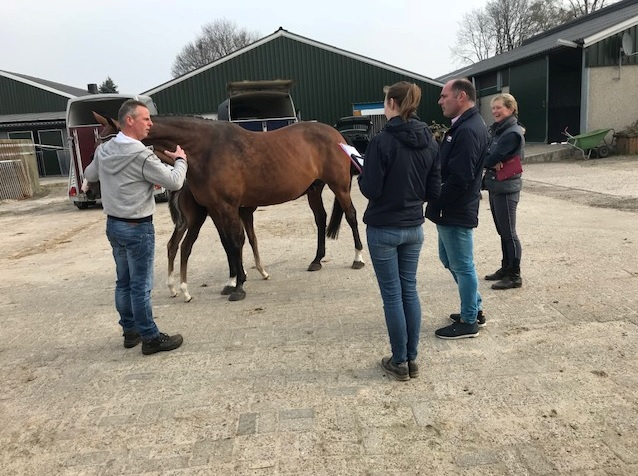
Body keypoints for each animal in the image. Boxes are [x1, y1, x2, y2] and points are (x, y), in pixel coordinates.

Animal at [93, 113, 364, 301]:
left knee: (351, 216)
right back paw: (317, 260)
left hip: (339, 186)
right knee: (320, 219)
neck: (206, 149)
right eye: (98, 141)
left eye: (113, 140)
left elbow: (236, 241)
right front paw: (232, 281)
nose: (95, 181)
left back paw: (358, 258)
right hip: (314, 189)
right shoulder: (214, 209)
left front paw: (240, 285)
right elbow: (227, 244)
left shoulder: (229, 207)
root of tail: (337, 135)